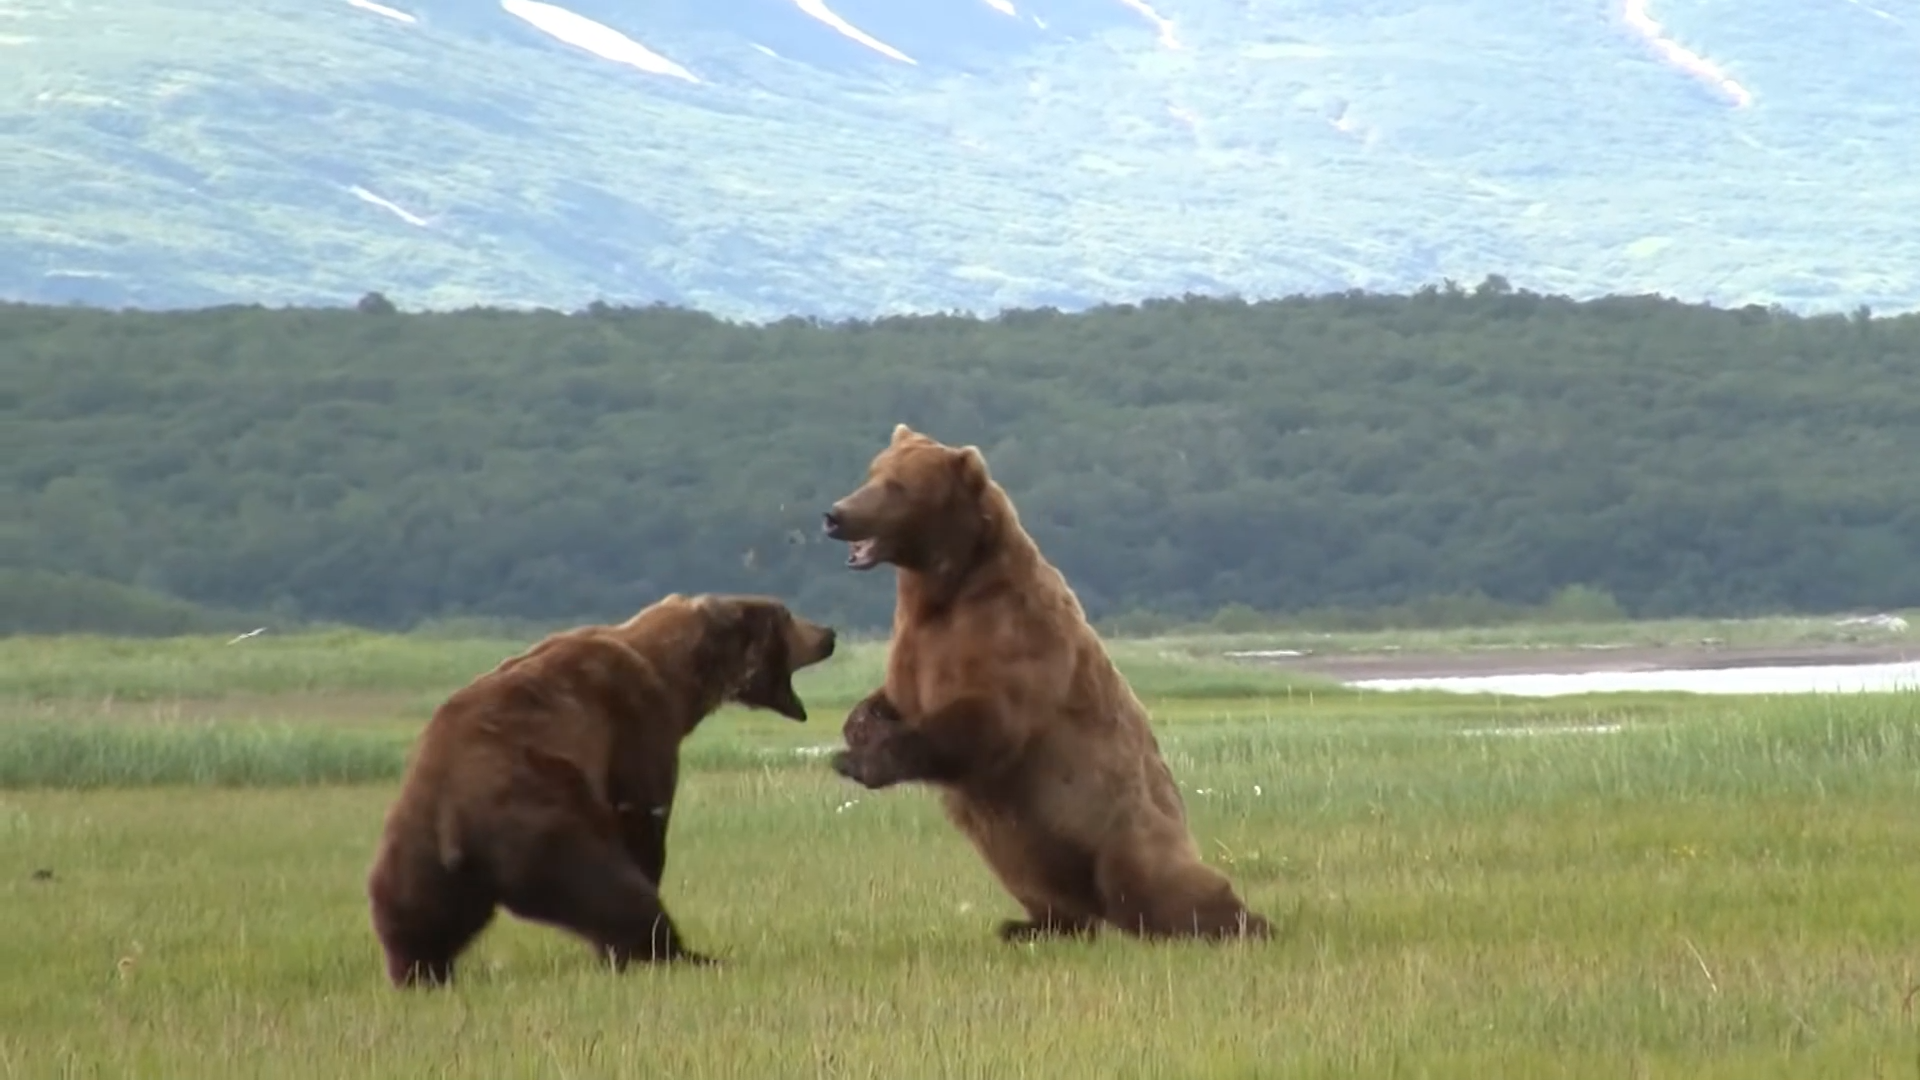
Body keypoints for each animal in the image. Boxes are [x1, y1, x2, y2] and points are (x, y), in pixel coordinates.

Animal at [362, 588, 837, 983]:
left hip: (416, 849)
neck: (676, 676)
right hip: (539, 823)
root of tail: (453, 824)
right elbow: (642, 817)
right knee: (610, 888)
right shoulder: (635, 724)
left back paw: (420, 971)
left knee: (412, 915)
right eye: (786, 615)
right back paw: (681, 954)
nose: (829, 634)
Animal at [817, 424, 1267, 937]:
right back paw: (1030, 926)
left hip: (1126, 828)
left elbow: (984, 720)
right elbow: (888, 698)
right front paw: (859, 729)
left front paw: (857, 760)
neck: (945, 590)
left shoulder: (1010, 639)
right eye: (872, 471)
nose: (836, 515)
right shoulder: (916, 643)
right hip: (1027, 853)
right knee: (1040, 882)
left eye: (897, 486)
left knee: (1152, 879)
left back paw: (1236, 923)